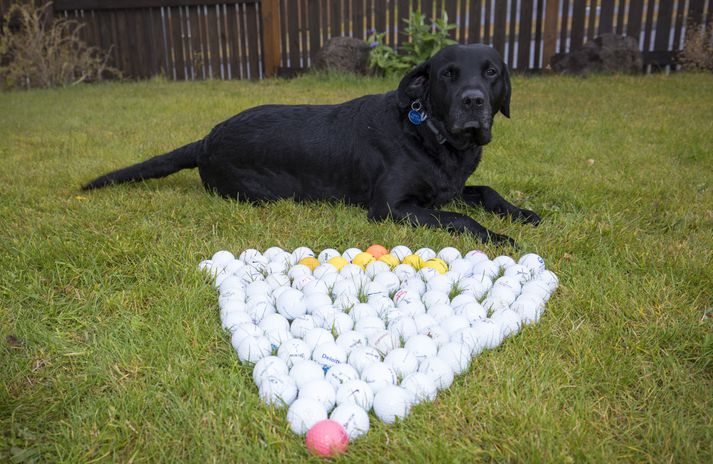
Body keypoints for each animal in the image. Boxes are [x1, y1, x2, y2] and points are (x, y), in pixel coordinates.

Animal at [82, 44, 540, 245]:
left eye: (491, 72)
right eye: (447, 74)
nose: (473, 101)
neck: (430, 133)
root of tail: (206, 138)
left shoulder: (451, 188)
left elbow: (487, 191)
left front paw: (521, 213)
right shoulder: (391, 207)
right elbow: (461, 220)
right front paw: (500, 238)